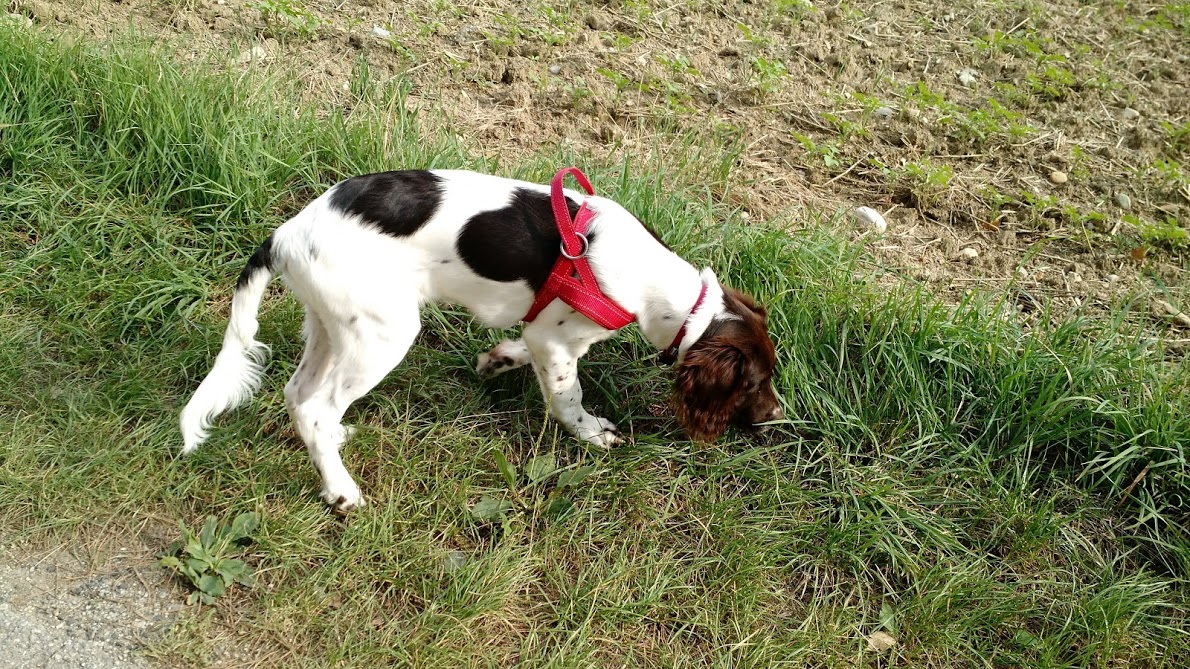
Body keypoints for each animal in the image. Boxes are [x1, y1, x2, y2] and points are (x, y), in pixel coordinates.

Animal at [178, 169, 780, 507]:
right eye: (756, 383)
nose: (777, 416)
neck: (656, 282)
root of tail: (284, 236)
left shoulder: (541, 332)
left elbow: (522, 347)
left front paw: (497, 359)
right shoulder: (559, 341)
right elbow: (568, 397)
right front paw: (591, 434)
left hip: (331, 325)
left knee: (299, 396)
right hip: (383, 333)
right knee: (318, 407)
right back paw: (341, 491)